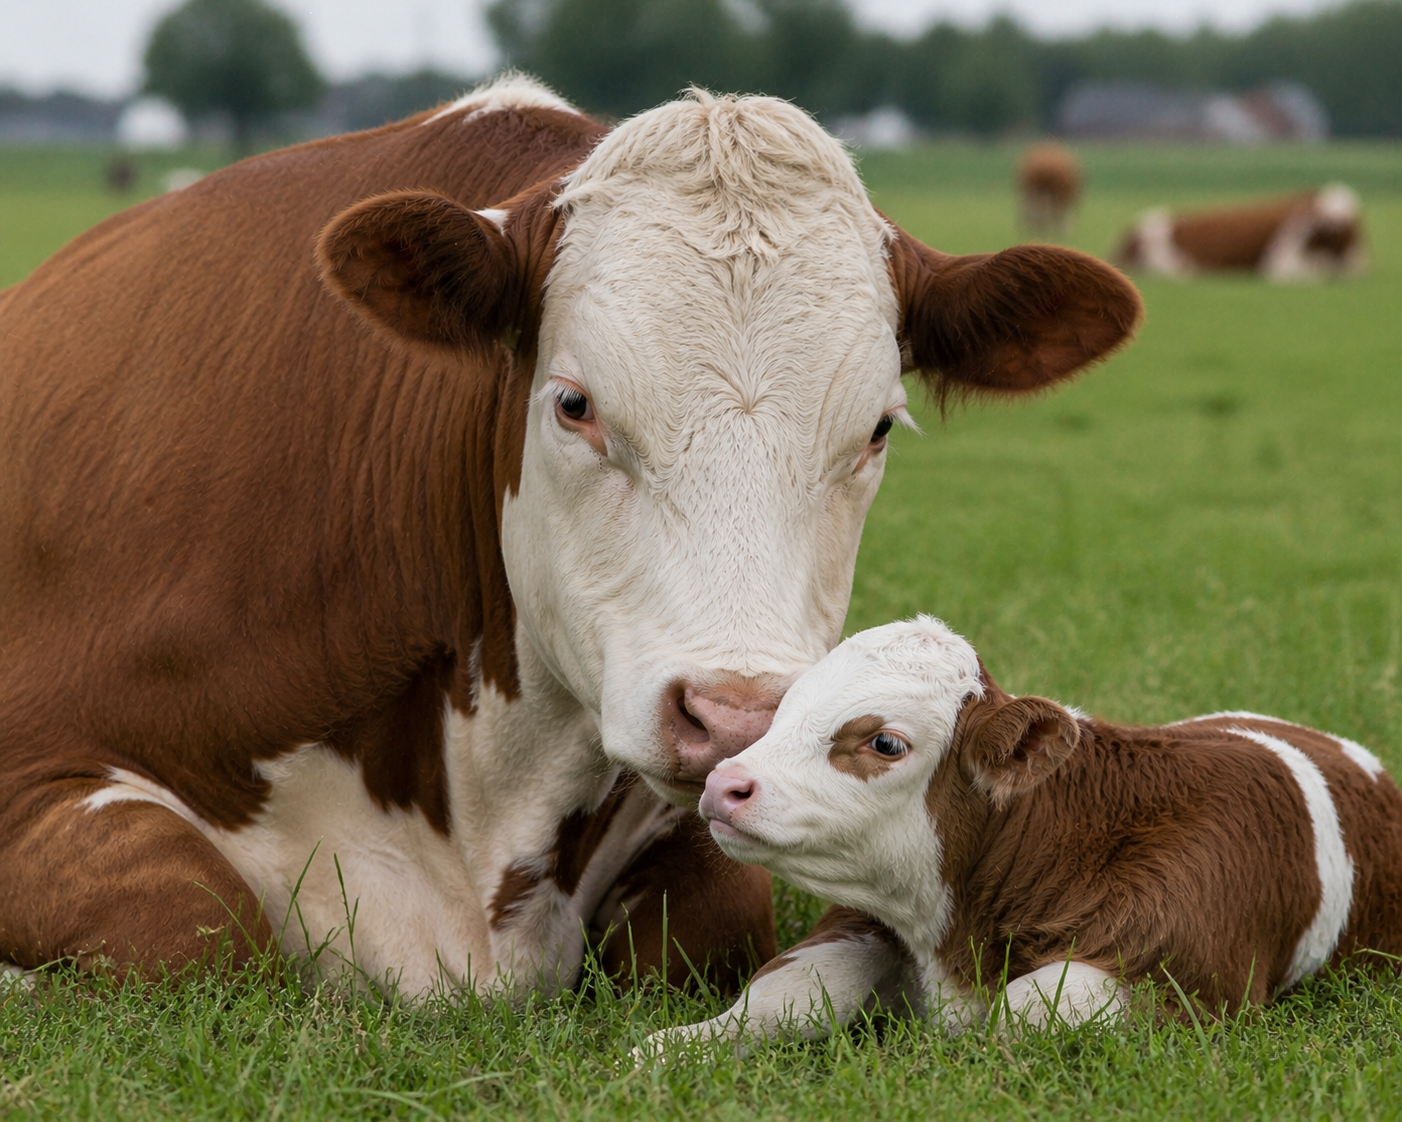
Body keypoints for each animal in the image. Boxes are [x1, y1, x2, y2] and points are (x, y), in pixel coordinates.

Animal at [647, 616, 1402, 1052]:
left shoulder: (1190, 974)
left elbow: (1026, 1009)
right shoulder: (864, 919)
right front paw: (665, 1050)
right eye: (785, 710)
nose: (724, 784)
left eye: (885, 741)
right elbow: (791, 992)